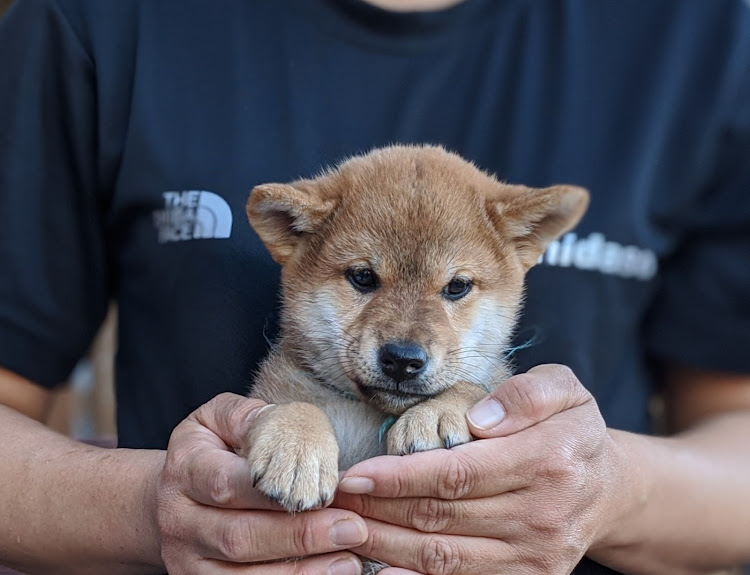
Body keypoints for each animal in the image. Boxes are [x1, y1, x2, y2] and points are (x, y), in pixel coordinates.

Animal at [244, 145, 592, 572]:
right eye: (363, 276)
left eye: (457, 286)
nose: (402, 359)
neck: (372, 419)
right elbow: (293, 404)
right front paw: (294, 450)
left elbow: (476, 386)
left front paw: (438, 413)